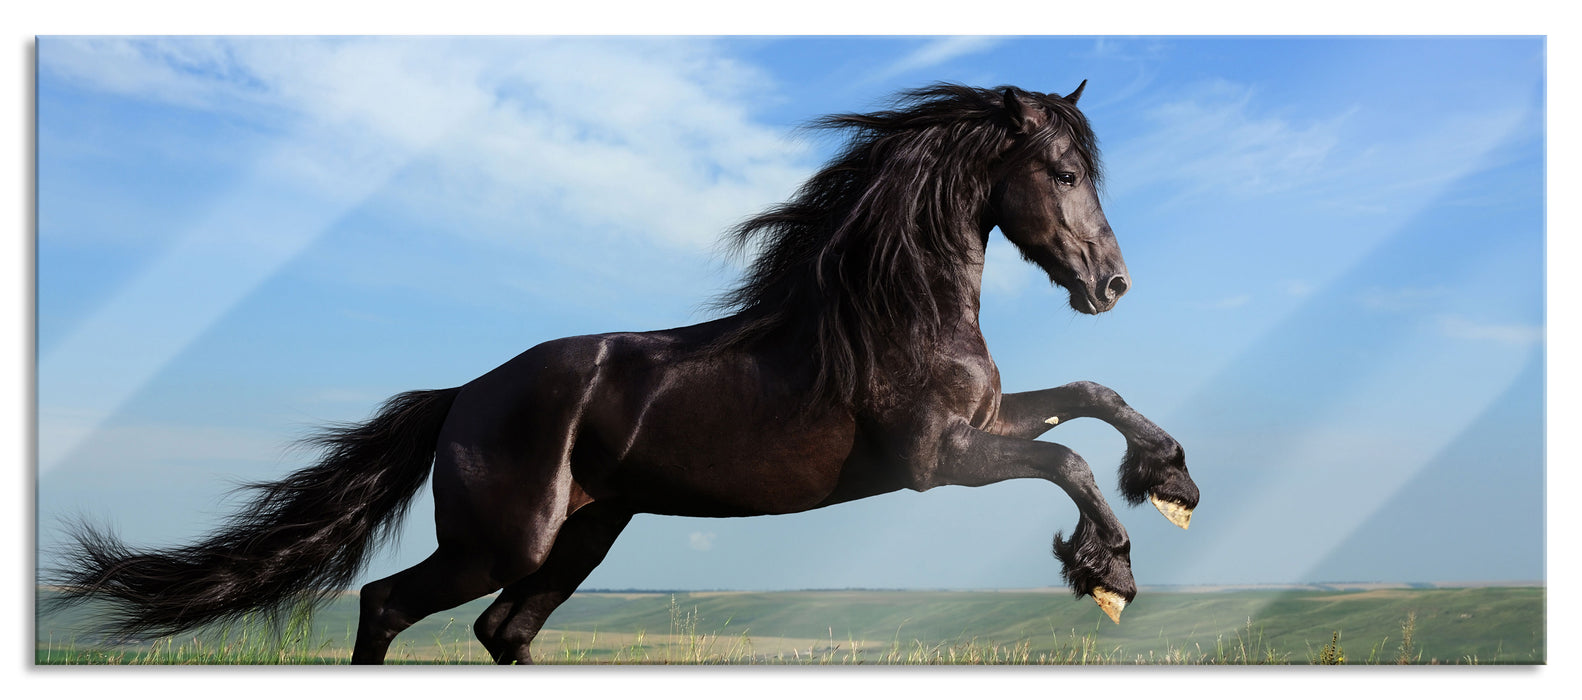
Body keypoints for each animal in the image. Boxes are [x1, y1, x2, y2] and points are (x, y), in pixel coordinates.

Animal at [49, 81, 1195, 661]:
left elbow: (1090, 399)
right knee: (386, 605)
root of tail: (461, 397)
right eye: (1061, 171)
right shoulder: (935, 459)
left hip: (585, 532)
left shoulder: (989, 420)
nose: (1113, 283)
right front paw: (1109, 571)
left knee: (501, 629)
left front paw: (1171, 481)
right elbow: (1068, 464)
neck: (895, 312)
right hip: (501, 539)